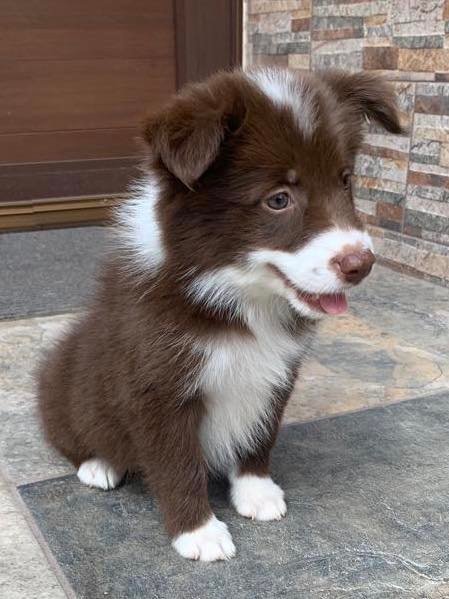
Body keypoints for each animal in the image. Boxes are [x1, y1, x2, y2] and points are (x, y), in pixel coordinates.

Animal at [37, 69, 402, 564]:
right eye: (278, 199)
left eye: (345, 181)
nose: (360, 264)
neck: (238, 298)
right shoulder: (157, 387)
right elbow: (177, 462)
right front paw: (199, 532)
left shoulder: (275, 373)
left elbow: (259, 433)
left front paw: (256, 491)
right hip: (63, 383)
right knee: (72, 435)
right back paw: (99, 465)